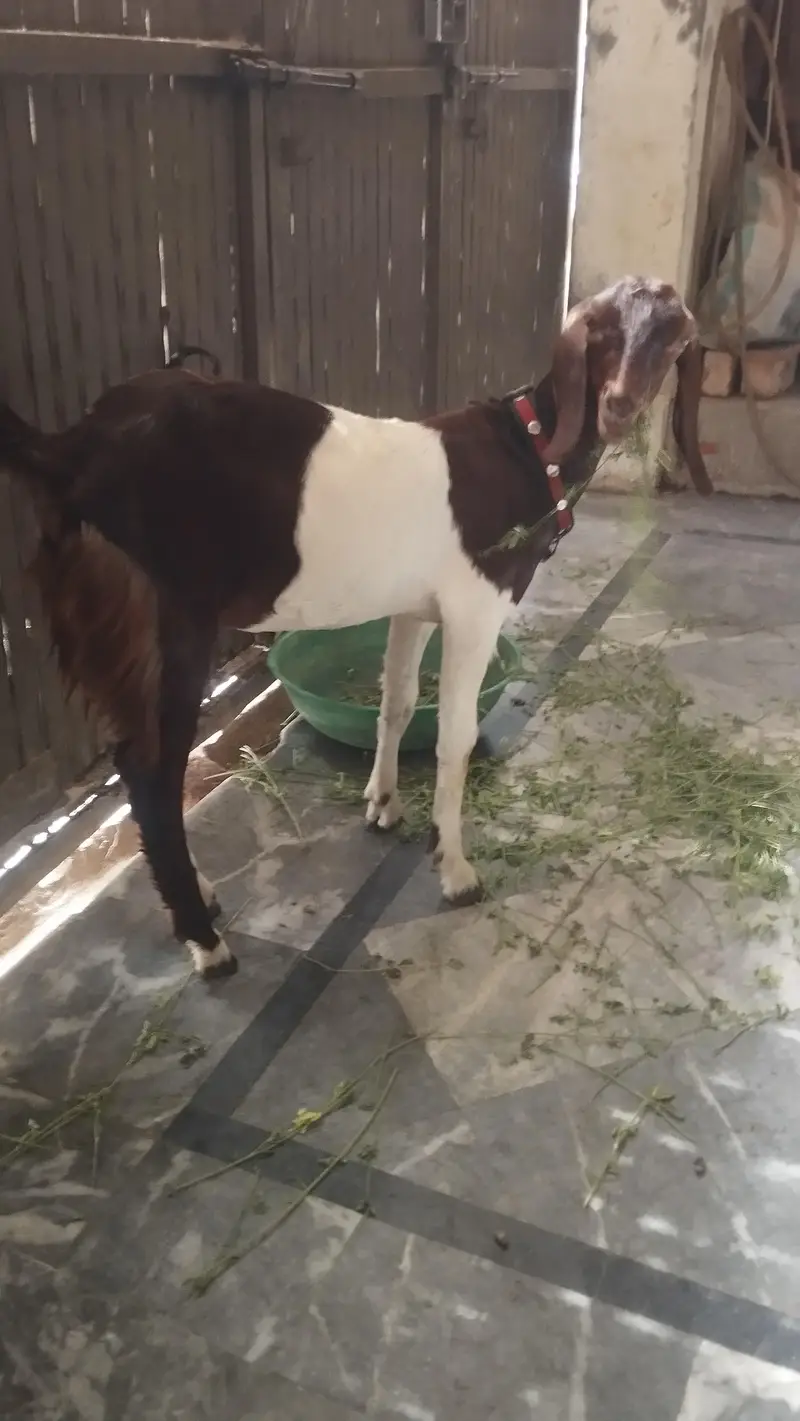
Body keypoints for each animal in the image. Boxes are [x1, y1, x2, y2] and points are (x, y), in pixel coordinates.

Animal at [0, 275, 711, 980]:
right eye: (606, 332)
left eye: (672, 332)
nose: (619, 402)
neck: (532, 449)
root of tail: (72, 451)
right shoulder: (474, 607)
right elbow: (455, 739)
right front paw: (455, 868)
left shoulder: (414, 609)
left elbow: (397, 704)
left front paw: (384, 804)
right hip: (168, 617)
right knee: (150, 770)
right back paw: (206, 942)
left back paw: (198, 897)